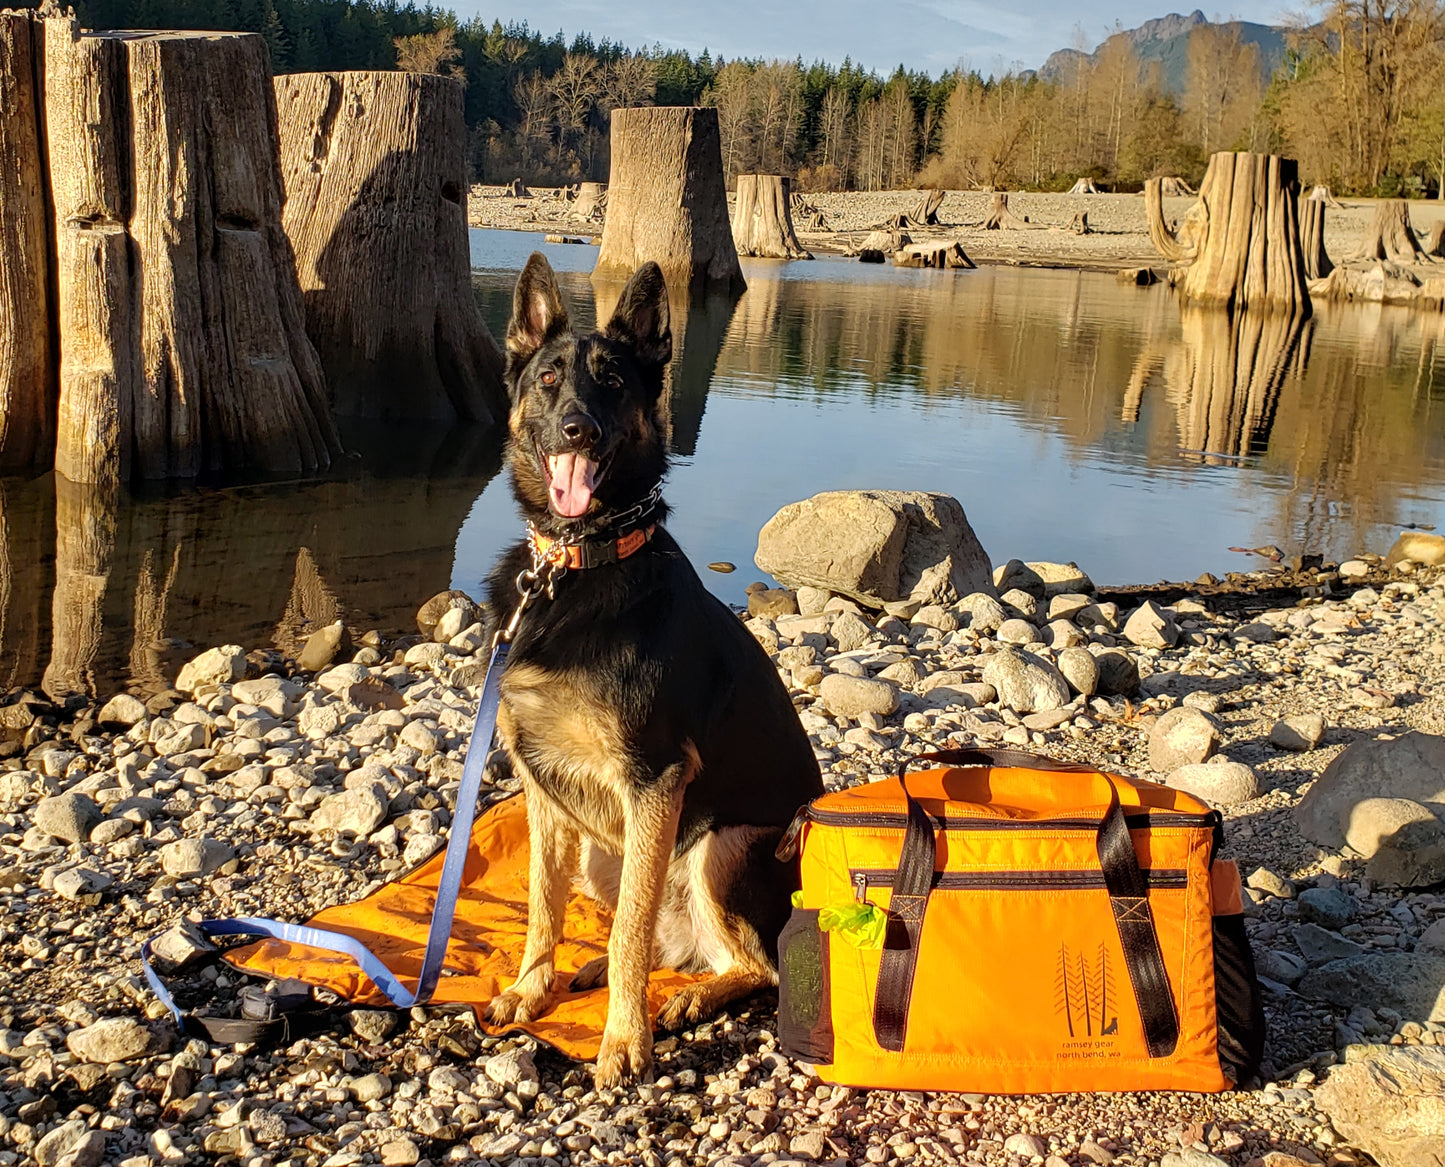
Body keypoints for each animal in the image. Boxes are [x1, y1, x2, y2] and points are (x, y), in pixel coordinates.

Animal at [485, 252, 826, 1086]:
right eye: (548, 377)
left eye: (612, 381)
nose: (577, 427)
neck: (576, 566)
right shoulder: (541, 780)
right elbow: (543, 902)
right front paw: (531, 987)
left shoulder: (656, 780)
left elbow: (628, 932)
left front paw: (622, 1040)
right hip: (605, 850)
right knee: (674, 940)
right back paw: (602, 976)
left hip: (719, 845)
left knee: (752, 963)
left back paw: (687, 998)